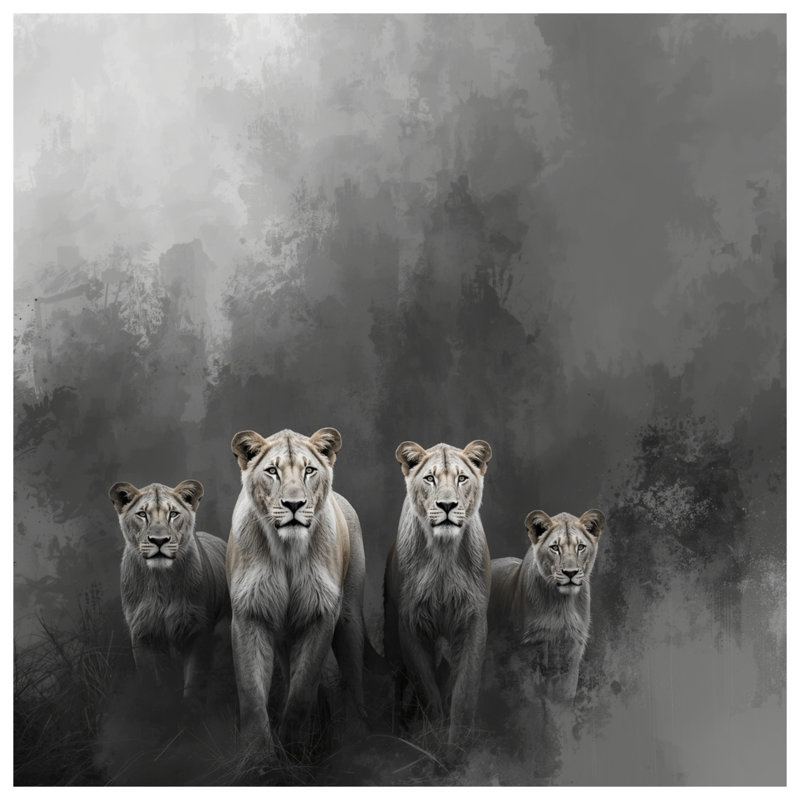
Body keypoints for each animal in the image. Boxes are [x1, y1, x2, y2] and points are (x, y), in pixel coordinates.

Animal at [108, 479, 230, 701]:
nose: (159, 540)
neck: (160, 580)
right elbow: (154, 681)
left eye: (173, 514)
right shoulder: (143, 633)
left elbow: (194, 683)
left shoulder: (197, 630)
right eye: (142, 514)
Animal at [226, 427, 367, 757]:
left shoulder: (321, 615)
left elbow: (302, 691)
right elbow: (251, 693)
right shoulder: (249, 614)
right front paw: (258, 755)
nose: (294, 505)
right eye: (272, 471)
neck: (288, 550)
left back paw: (359, 738)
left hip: (350, 618)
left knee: (354, 677)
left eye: (309, 470)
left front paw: (293, 747)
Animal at [383, 439, 493, 750]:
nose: (446, 505)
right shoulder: (409, 623)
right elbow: (426, 689)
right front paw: (433, 739)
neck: (444, 552)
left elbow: (463, 691)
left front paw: (458, 746)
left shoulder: (473, 621)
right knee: (397, 681)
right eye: (430, 478)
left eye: (462, 478)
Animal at [488, 509, 605, 703]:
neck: (561, 604)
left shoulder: (572, 650)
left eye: (580, 547)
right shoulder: (529, 650)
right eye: (555, 548)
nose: (571, 573)